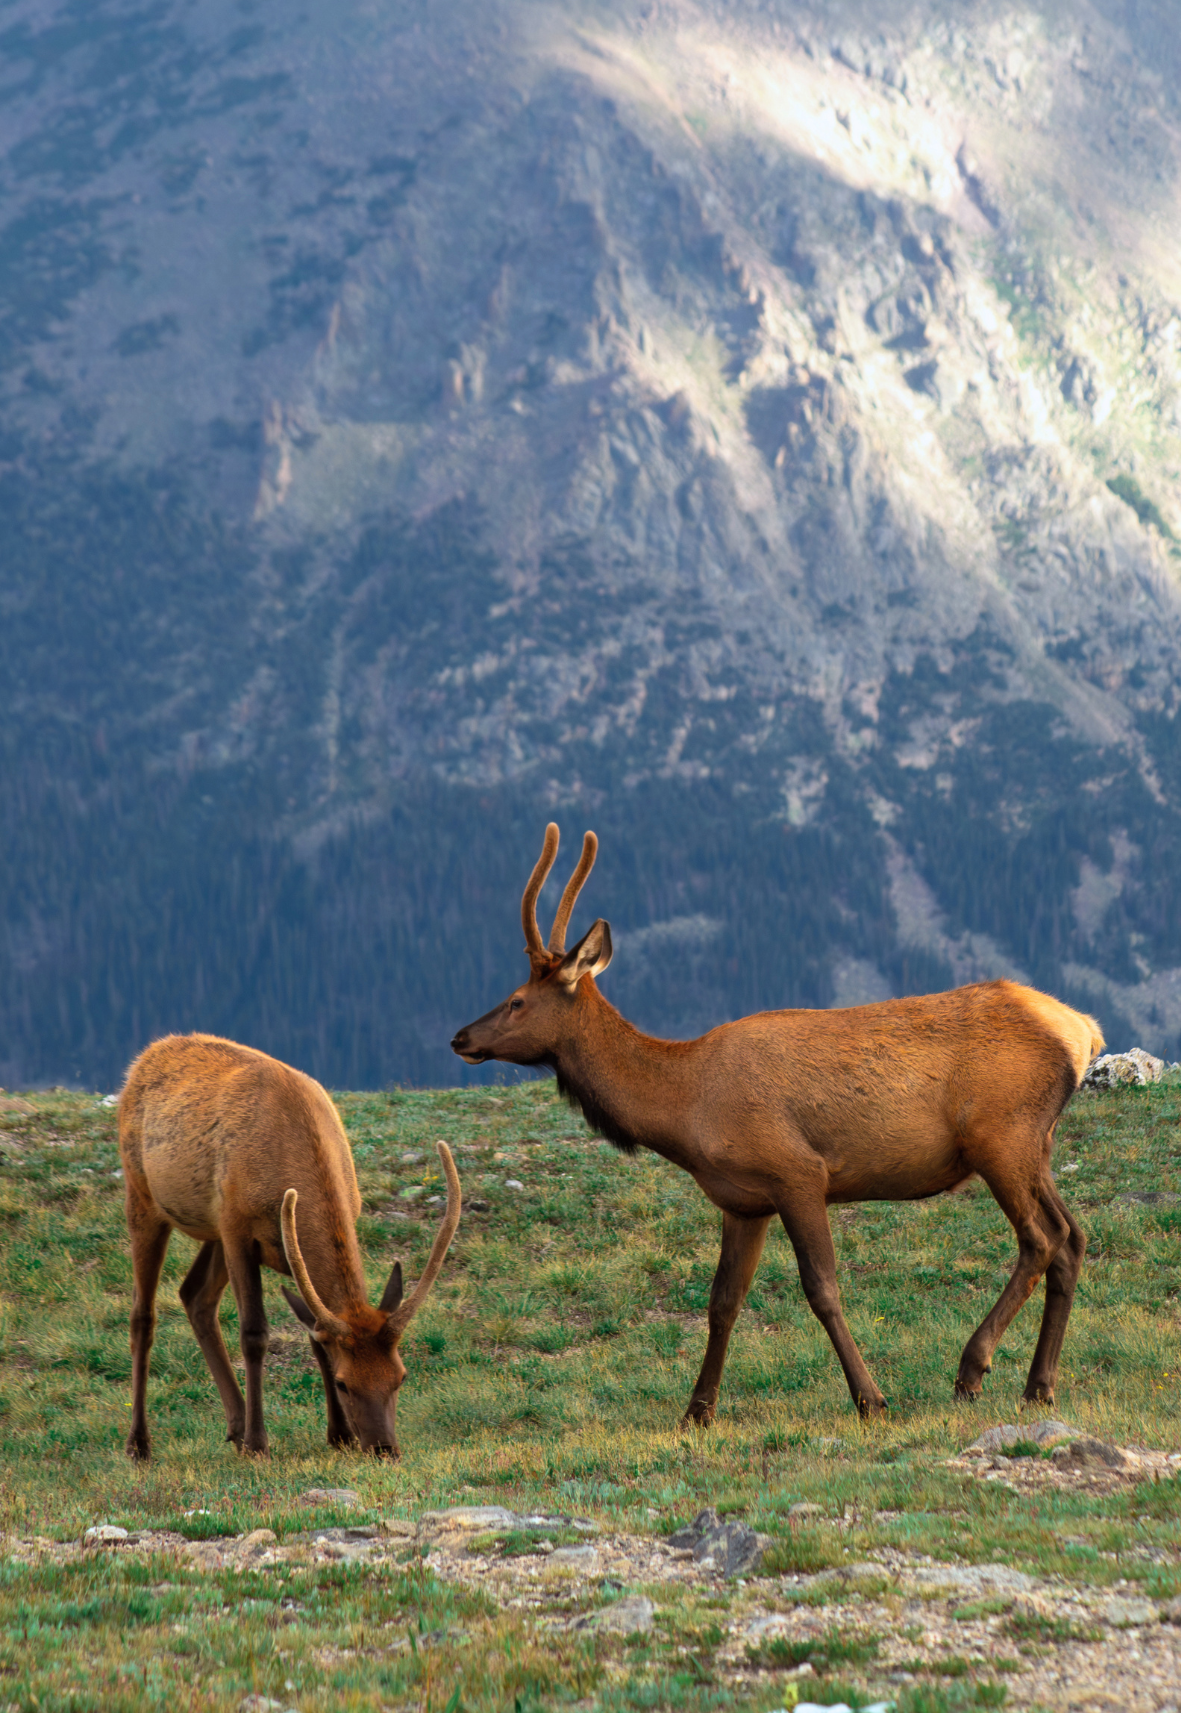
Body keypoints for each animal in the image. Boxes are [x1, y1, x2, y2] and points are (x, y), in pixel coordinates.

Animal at [119, 1032, 461, 1459]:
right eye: (345, 1382)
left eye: (401, 1376)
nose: (383, 1448)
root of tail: (146, 1056)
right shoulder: (236, 1229)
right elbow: (254, 1334)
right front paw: (259, 1444)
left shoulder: (274, 1241)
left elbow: (315, 1337)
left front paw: (339, 1435)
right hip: (144, 1197)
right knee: (142, 1315)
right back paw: (140, 1443)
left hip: (211, 1227)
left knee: (194, 1295)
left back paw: (234, 1426)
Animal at [451, 825, 1103, 1425]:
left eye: (516, 1000)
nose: (460, 1037)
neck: (685, 1109)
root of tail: (1083, 1030)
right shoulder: (742, 1201)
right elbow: (722, 1302)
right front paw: (697, 1412)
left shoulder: (798, 1174)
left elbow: (822, 1289)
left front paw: (870, 1399)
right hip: (1035, 1145)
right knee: (1073, 1237)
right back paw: (1038, 1386)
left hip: (1000, 1137)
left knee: (1040, 1238)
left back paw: (972, 1369)